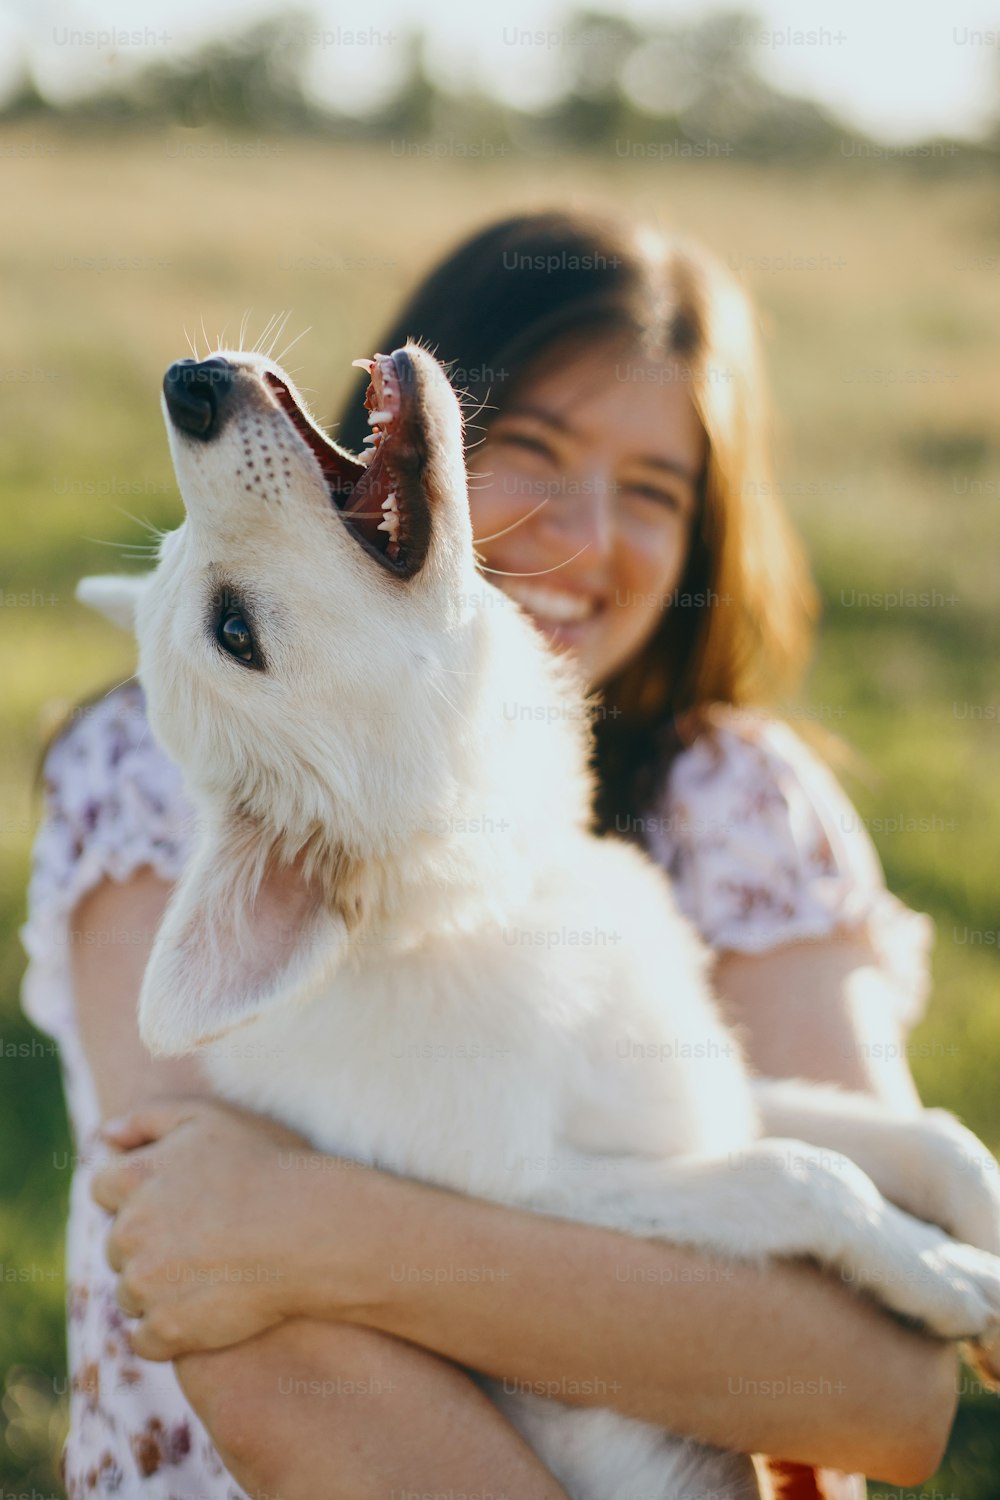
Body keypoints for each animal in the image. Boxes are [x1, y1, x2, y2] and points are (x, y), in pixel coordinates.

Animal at [82, 343, 1000, 1500]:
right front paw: (945, 1275)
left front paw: (978, 1233)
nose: (187, 383)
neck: (499, 901)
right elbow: (805, 1177)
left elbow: (925, 1138)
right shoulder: (538, 1189)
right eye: (234, 632)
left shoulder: (700, 1085)